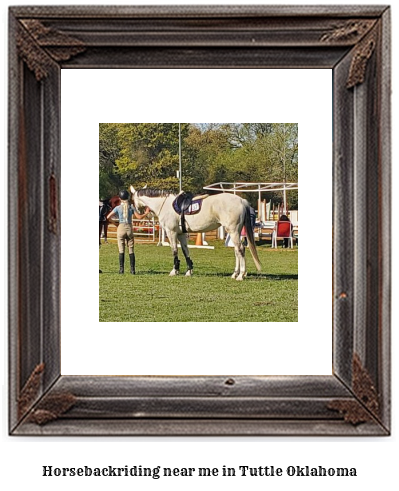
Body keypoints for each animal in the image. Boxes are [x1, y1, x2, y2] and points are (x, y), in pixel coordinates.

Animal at [131, 187, 262, 282]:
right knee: (237, 251)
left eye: (132, 200)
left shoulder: (171, 232)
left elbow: (175, 251)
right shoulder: (181, 234)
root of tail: (241, 201)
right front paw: (189, 271)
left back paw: (240, 275)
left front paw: (174, 271)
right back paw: (235, 274)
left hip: (233, 231)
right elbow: (185, 251)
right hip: (235, 232)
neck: (166, 204)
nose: (138, 212)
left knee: (240, 249)